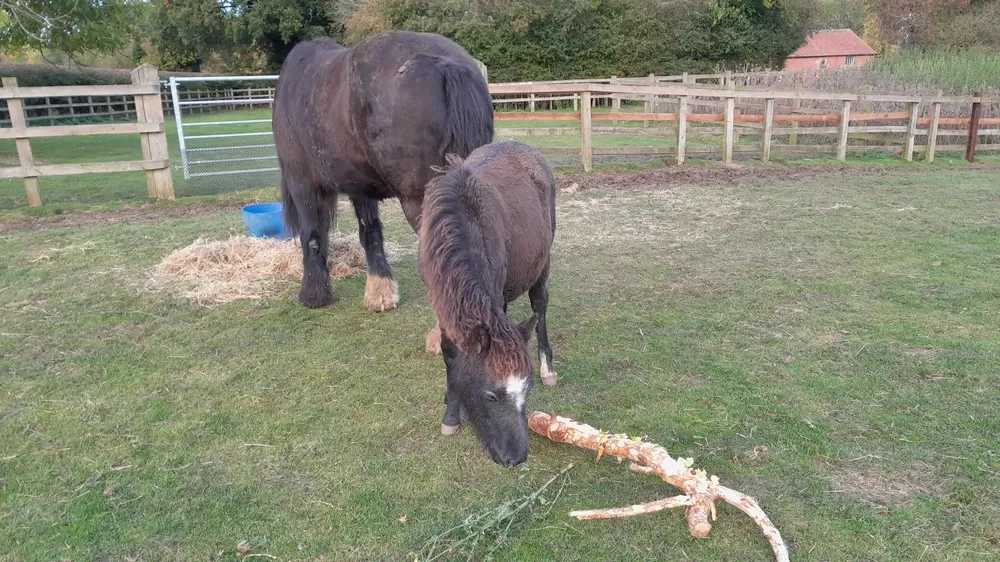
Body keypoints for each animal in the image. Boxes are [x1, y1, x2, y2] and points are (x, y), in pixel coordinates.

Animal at [272, 30, 494, 308]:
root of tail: (446, 64)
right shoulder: (359, 187)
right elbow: (370, 231)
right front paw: (380, 291)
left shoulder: (303, 183)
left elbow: (312, 235)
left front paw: (313, 294)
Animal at [414, 140, 556, 464]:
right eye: (491, 395)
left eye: (528, 389)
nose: (516, 457)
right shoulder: (443, 307)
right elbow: (451, 357)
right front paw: (451, 411)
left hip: (543, 264)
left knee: (540, 307)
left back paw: (548, 366)